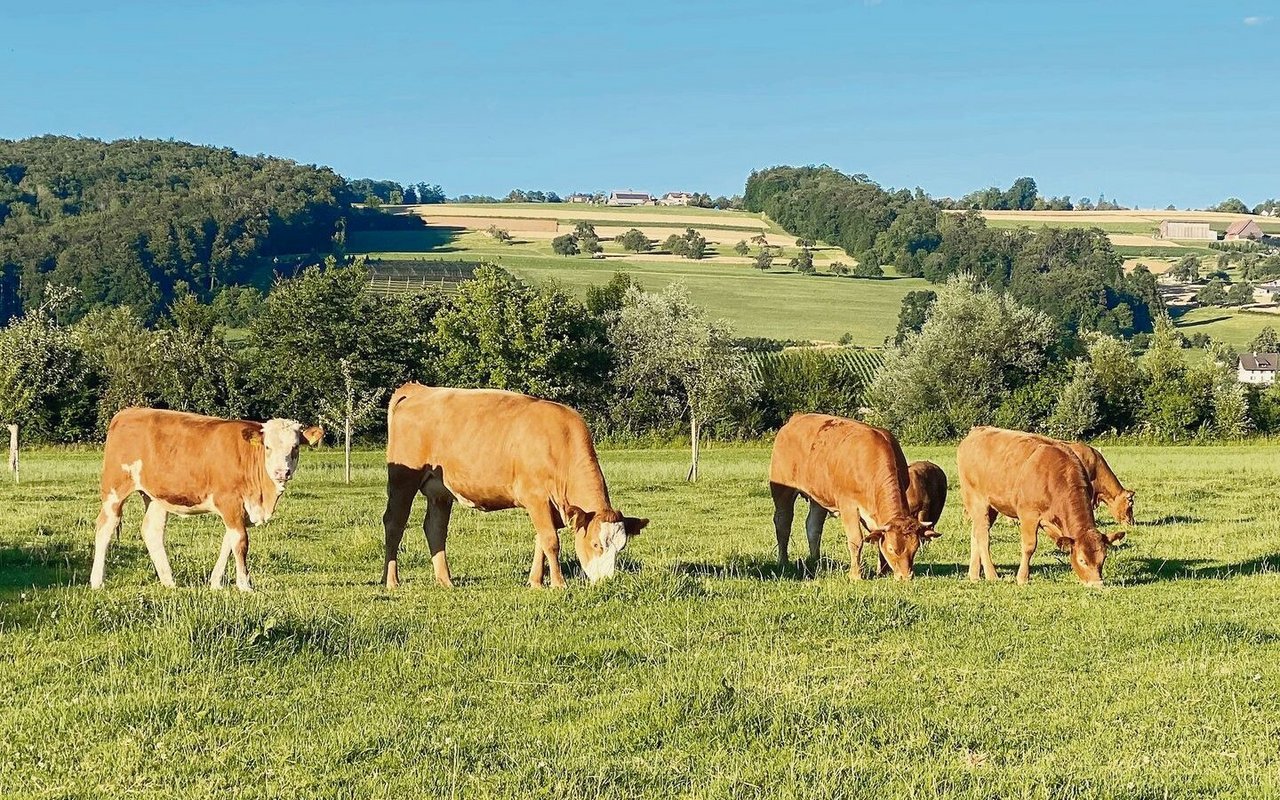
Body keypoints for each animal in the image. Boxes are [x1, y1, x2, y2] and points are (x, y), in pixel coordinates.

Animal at [88, 409, 322, 588]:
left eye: (295, 447)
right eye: (267, 447)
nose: (281, 472)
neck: (262, 496)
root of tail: (128, 412)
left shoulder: (239, 509)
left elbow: (228, 542)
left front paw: (216, 583)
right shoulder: (229, 501)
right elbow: (240, 542)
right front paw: (245, 585)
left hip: (156, 496)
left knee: (152, 531)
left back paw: (169, 582)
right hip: (115, 489)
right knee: (105, 527)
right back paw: (97, 581)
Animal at [373, 381, 645, 586]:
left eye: (621, 548)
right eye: (596, 544)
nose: (607, 581)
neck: (559, 442)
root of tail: (419, 390)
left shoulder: (551, 507)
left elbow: (541, 541)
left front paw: (536, 582)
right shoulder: (536, 497)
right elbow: (551, 541)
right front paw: (558, 584)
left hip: (440, 490)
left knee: (435, 528)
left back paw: (445, 581)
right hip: (403, 480)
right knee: (394, 523)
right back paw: (392, 581)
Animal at [768, 412, 942, 581]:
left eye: (915, 548)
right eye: (892, 549)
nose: (905, 577)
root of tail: (796, 418)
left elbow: (877, 536)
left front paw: (883, 571)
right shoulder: (848, 505)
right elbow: (856, 539)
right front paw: (856, 575)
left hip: (819, 498)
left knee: (813, 527)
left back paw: (816, 562)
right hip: (782, 491)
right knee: (783, 524)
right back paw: (783, 561)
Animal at [957, 424, 1126, 586]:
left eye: (1103, 558)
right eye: (1082, 560)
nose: (1097, 584)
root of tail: (976, 432)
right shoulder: (1028, 515)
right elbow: (1029, 546)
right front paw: (1022, 578)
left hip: (992, 506)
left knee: (975, 534)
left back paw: (974, 575)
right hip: (978, 501)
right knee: (983, 536)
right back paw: (992, 575)